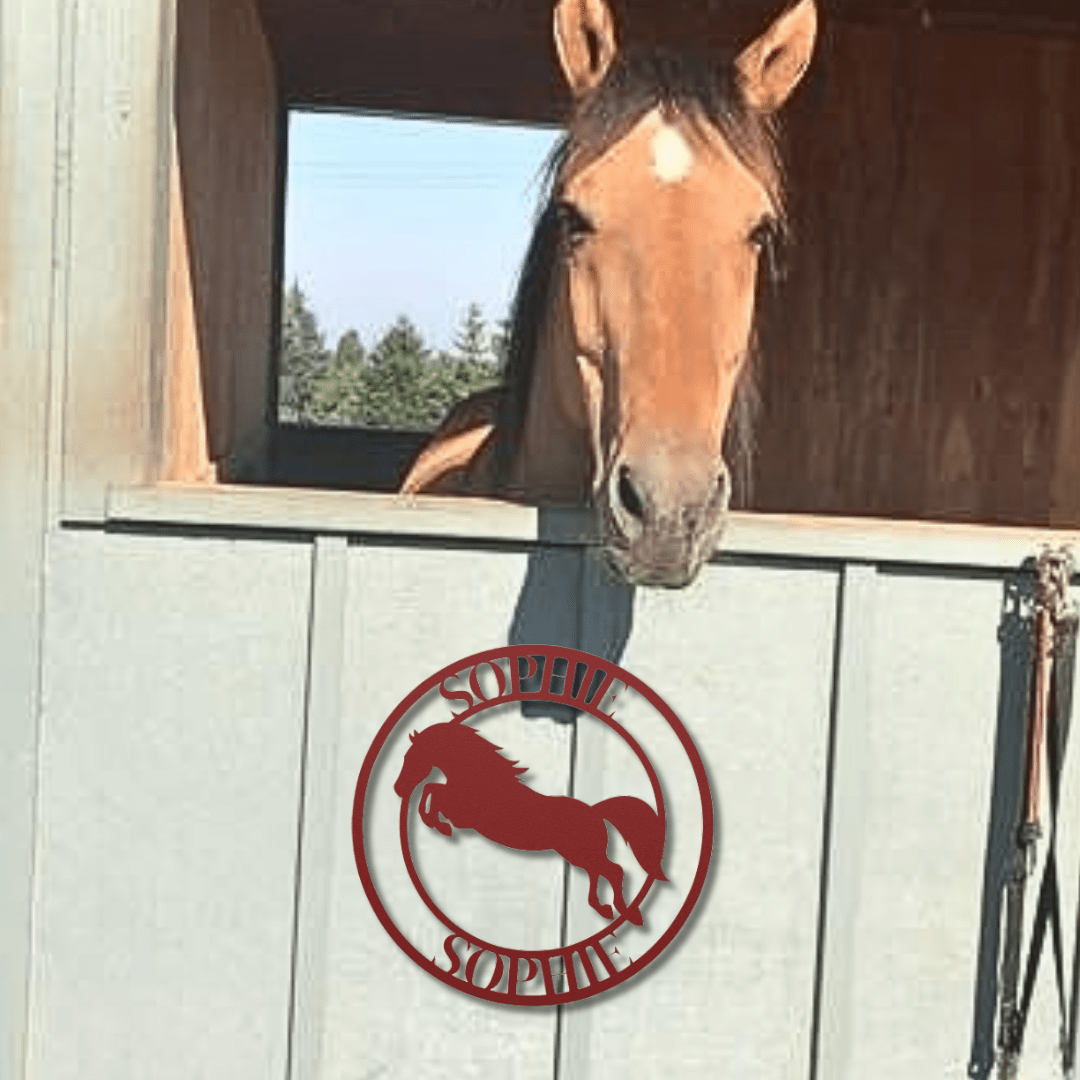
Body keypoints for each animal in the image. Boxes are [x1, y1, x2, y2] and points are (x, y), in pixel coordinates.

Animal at [397, 717, 665, 928]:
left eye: (412, 756)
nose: (398, 789)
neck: (480, 777)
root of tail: (595, 811)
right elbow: (434, 790)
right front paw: (436, 822)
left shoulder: (465, 815)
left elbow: (435, 793)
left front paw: (438, 824)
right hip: (580, 855)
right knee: (599, 873)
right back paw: (604, 908)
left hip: (581, 853)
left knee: (614, 871)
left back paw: (625, 913)